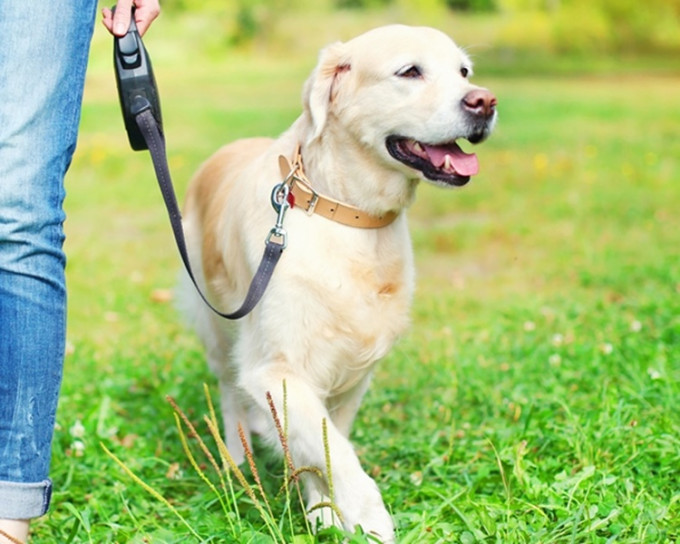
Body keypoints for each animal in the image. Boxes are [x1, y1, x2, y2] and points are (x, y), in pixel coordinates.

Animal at [181, 25, 496, 544]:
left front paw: (323, 509)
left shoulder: (352, 373)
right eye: (410, 71)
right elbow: (337, 453)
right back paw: (236, 459)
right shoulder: (275, 367)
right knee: (228, 392)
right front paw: (370, 520)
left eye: (464, 71)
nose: (485, 101)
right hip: (217, 327)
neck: (348, 214)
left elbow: (324, 444)